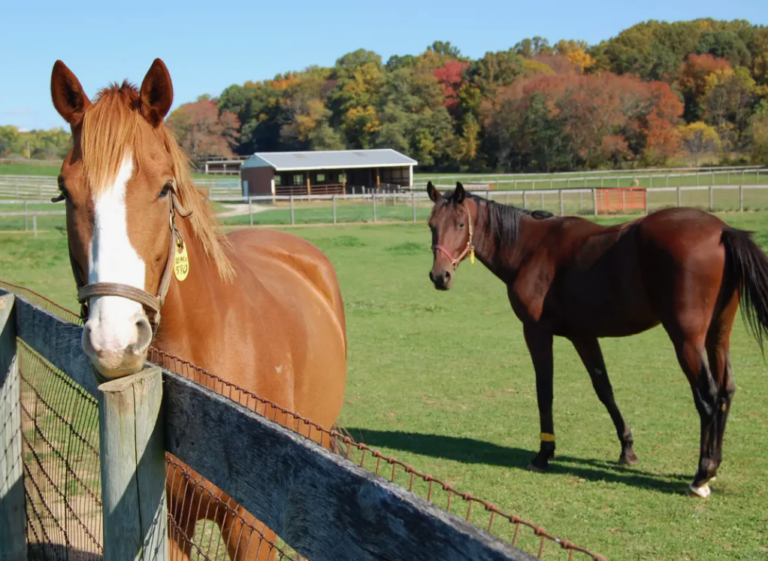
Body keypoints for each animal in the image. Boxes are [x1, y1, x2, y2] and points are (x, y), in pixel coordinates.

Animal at [426, 182, 768, 496]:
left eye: (460, 224)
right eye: (432, 225)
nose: (440, 276)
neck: (529, 249)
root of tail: (722, 230)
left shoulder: (537, 332)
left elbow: (544, 391)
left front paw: (544, 453)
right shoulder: (583, 335)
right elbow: (604, 389)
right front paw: (627, 449)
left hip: (686, 338)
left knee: (708, 396)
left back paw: (702, 474)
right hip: (718, 335)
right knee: (726, 391)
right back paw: (714, 465)